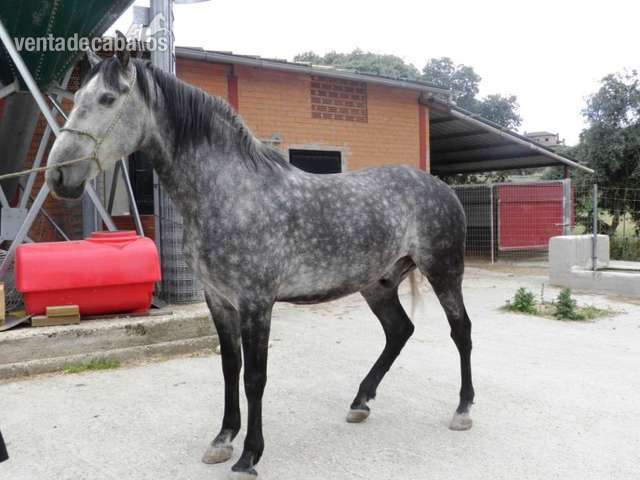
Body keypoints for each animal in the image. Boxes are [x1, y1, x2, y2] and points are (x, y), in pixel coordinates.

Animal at [45, 45, 475, 479]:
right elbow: (229, 368)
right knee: (399, 331)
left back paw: (462, 410)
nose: (58, 176)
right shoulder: (219, 300)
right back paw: (360, 402)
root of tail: (440, 187)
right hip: (377, 284)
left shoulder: (256, 302)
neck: (231, 193)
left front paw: (249, 455)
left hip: (443, 272)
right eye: (76, 98)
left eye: (107, 99)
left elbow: (255, 376)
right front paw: (222, 439)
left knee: (460, 331)